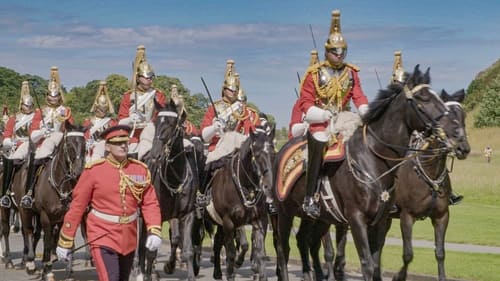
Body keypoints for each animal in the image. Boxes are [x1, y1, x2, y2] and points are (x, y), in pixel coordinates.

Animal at [11, 121, 86, 280]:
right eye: (69, 144)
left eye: (84, 144)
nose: (78, 172)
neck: (62, 185)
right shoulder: (45, 216)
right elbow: (46, 241)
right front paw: (48, 270)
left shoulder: (65, 217)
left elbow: (64, 241)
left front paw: (66, 270)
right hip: (24, 210)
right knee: (28, 230)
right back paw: (30, 263)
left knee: (36, 233)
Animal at [136, 98, 202, 280]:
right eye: (157, 122)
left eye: (173, 124)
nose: (155, 154)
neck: (175, 177)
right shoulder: (156, 215)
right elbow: (150, 251)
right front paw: (149, 274)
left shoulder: (186, 215)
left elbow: (187, 249)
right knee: (141, 245)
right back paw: (142, 271)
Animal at [208, 124, 278, 280]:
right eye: (256, 154)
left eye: (273, 152)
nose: (269, 186)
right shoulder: (230, 222)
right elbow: (232, 252)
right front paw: (232, 270)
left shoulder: (260, 221)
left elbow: (259, 253)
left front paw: (259, 272)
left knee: (217, 242)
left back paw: (217, 271)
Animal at [272, 64, 470, 280]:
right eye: (423, 99)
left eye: (462, 115)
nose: (461, 144)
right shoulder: (368, 218)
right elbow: (378, 261)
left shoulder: (400, 219)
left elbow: (427, 255)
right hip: (285, 212)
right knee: (284, 248)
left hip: (319, 217)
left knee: (307, 241)